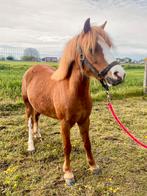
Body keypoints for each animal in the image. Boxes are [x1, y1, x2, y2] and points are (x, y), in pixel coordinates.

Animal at [21, 18, 125, 185]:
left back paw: (38, 136)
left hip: (38, 105)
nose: (119, 75)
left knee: (36, 118)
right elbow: (67, 146)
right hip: (28, 105)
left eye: (109, 45)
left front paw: (93, 166)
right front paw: (68, 174)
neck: (72, 92)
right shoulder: (64, 124)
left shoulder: (85, 120)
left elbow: (87, 143)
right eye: (91, 48)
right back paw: (31, 145)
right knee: (30, 122)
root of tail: (31, 69)